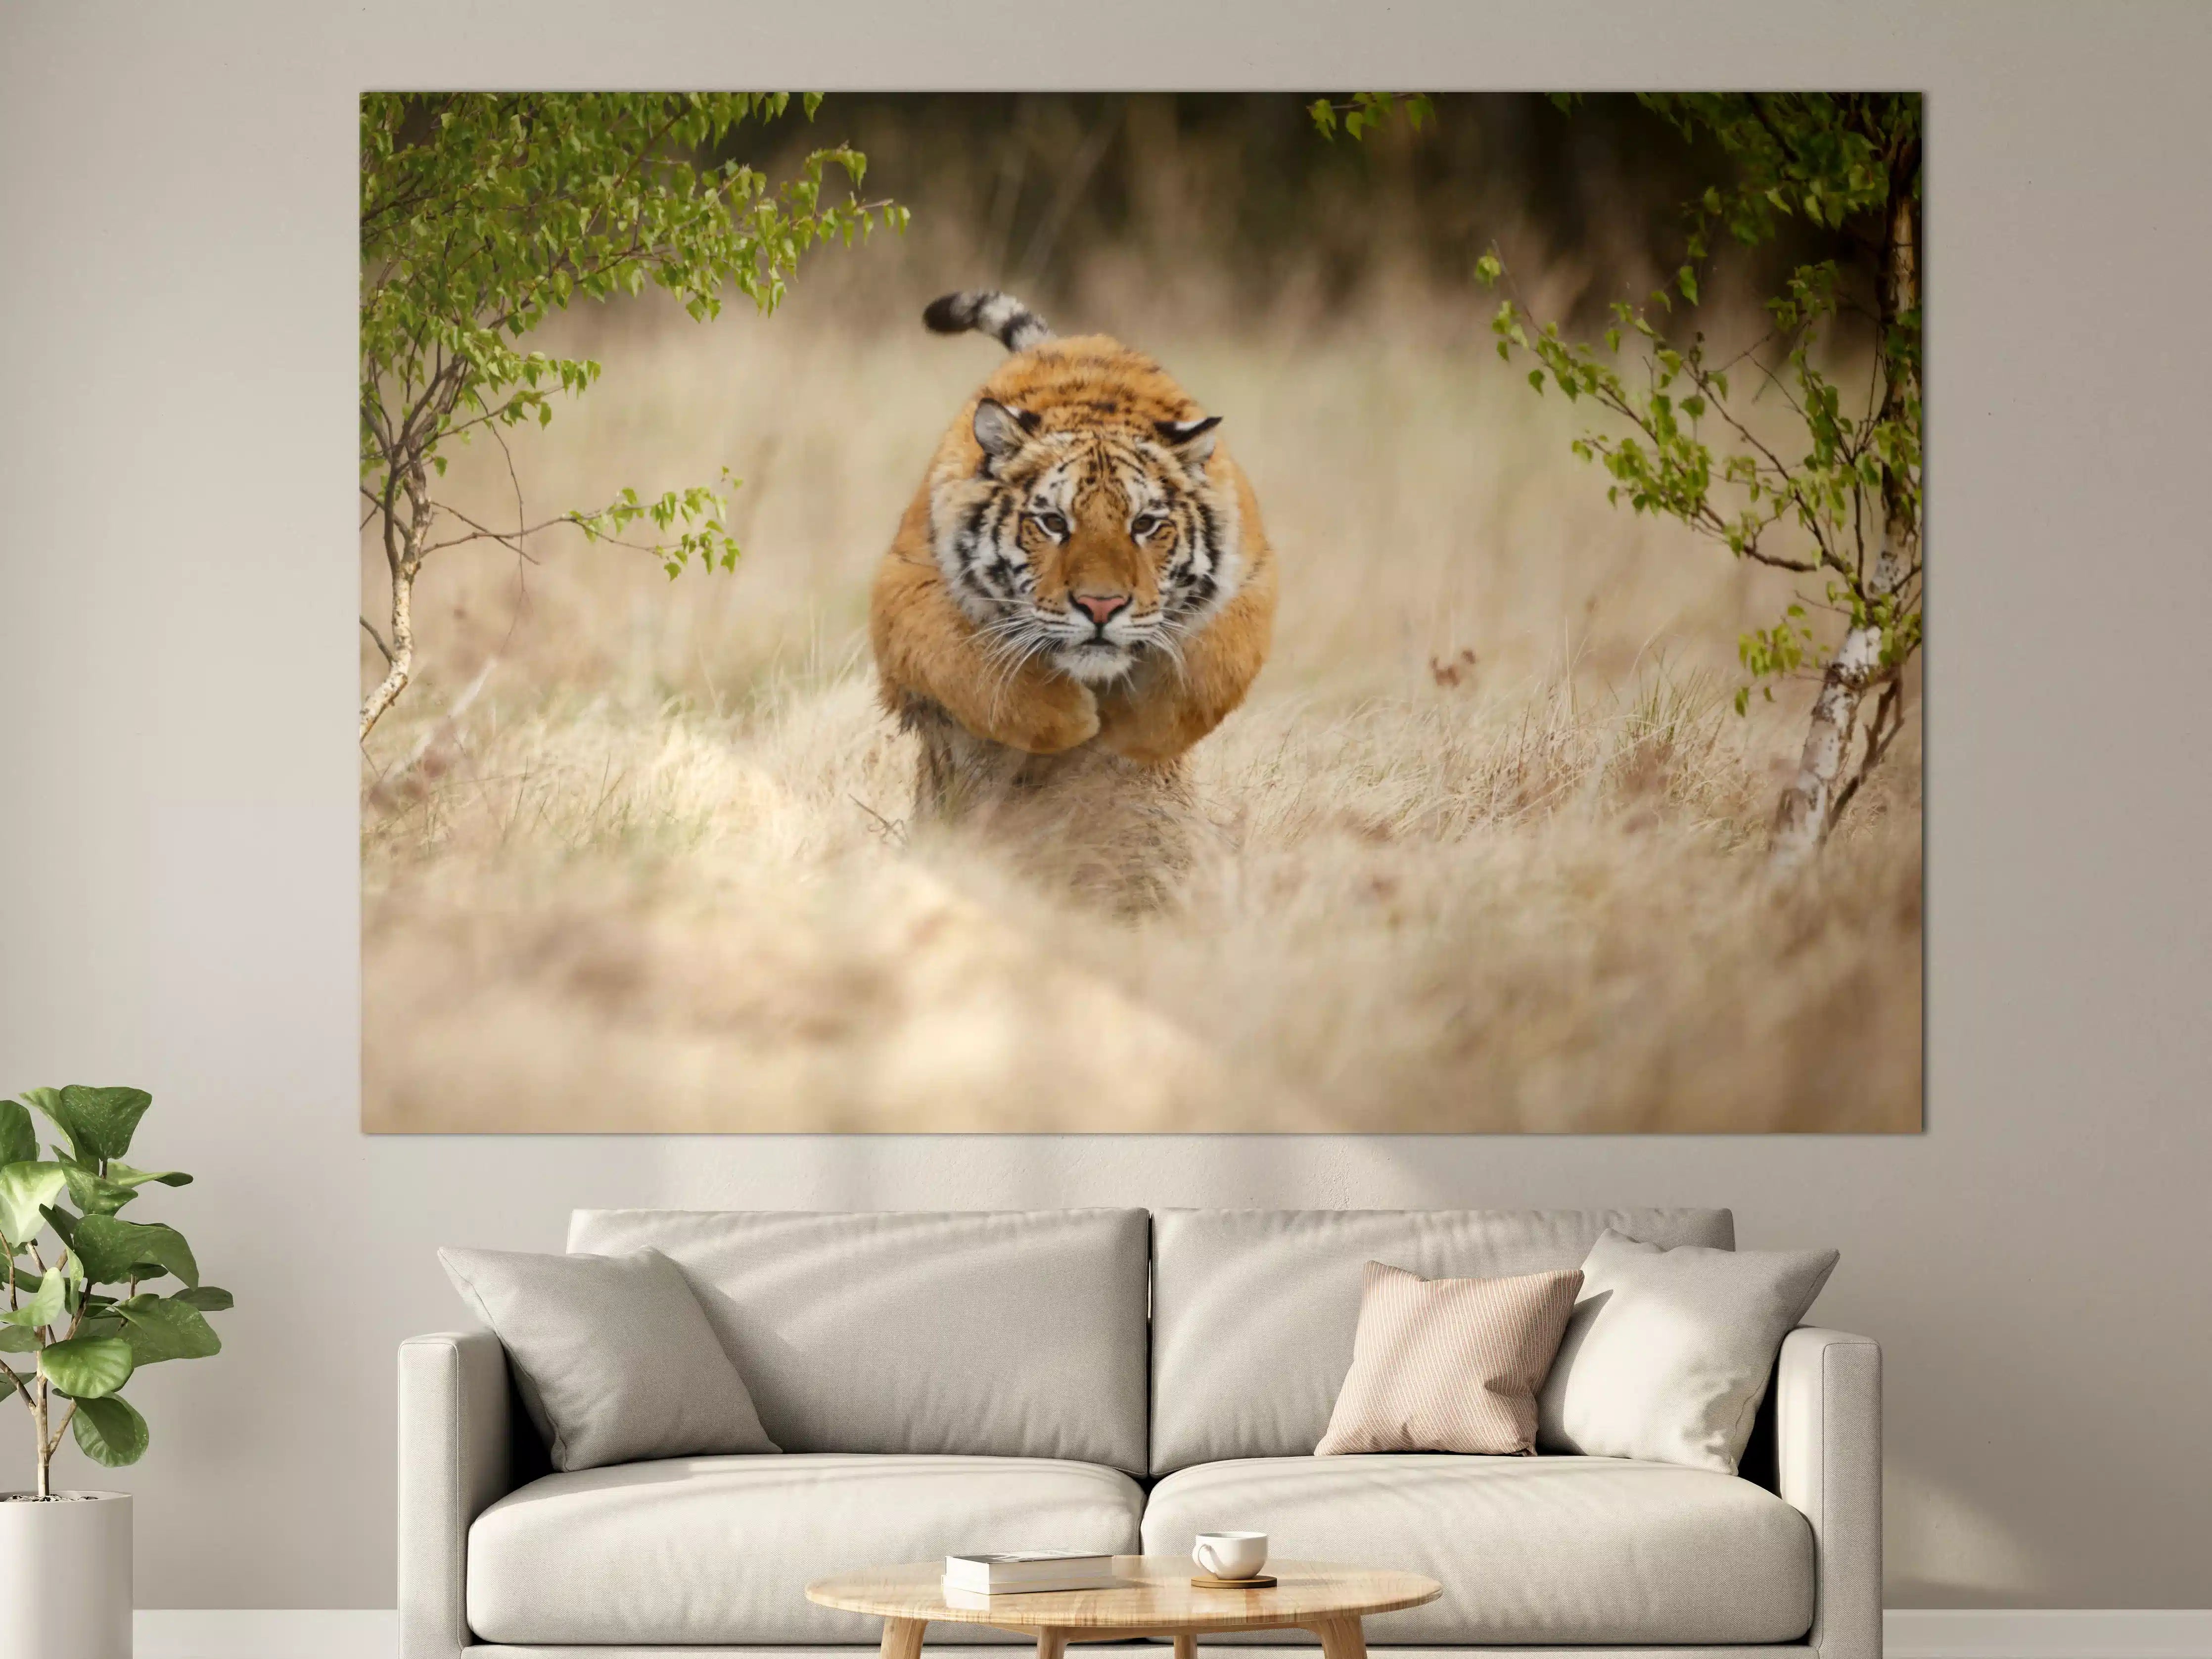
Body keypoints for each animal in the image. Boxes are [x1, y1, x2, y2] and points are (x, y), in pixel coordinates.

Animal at [870, 289, 1277, 820]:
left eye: (1144, 524)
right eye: (1053, 523)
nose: (1101, 607)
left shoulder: (1252, 578)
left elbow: (1209, 672)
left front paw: (1134, 732)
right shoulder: (907, 585)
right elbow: (967, 666)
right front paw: (1074, 720)